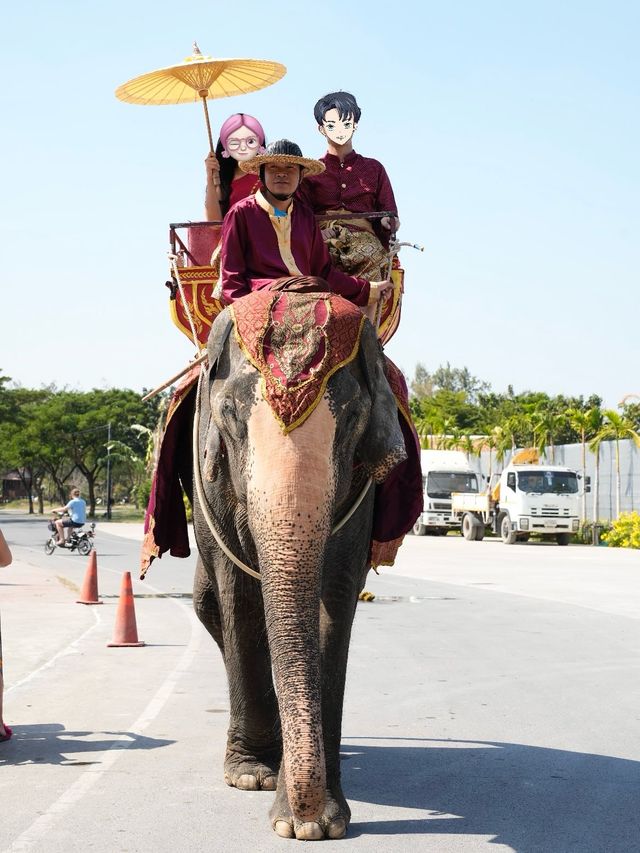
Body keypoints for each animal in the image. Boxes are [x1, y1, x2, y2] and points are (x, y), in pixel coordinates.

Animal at [192, 292, 408, 840]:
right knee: (209, 605)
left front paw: (318, 822)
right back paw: (256, 762)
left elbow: (336, 594)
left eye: (352, 417)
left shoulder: (360, 492)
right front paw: (254, 779)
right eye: (228, 414)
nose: (305, 817)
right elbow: (240, 596)